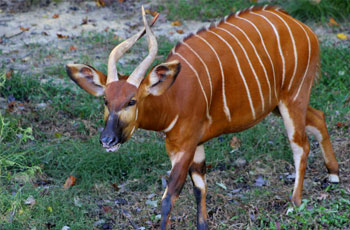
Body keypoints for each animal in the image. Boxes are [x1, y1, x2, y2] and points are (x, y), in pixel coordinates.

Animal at [65, 5, 340, 230]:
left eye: (132, 100)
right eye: (105, 100)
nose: (107, 140)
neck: (173, 96)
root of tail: (304, 28)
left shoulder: (184, 147)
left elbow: (169, 197)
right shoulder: (193, 146)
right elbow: (200, 187)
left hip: (292, 98)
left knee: (300, 145)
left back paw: (295, 203)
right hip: (279, 104)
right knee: (318, 116)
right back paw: (334, 174)